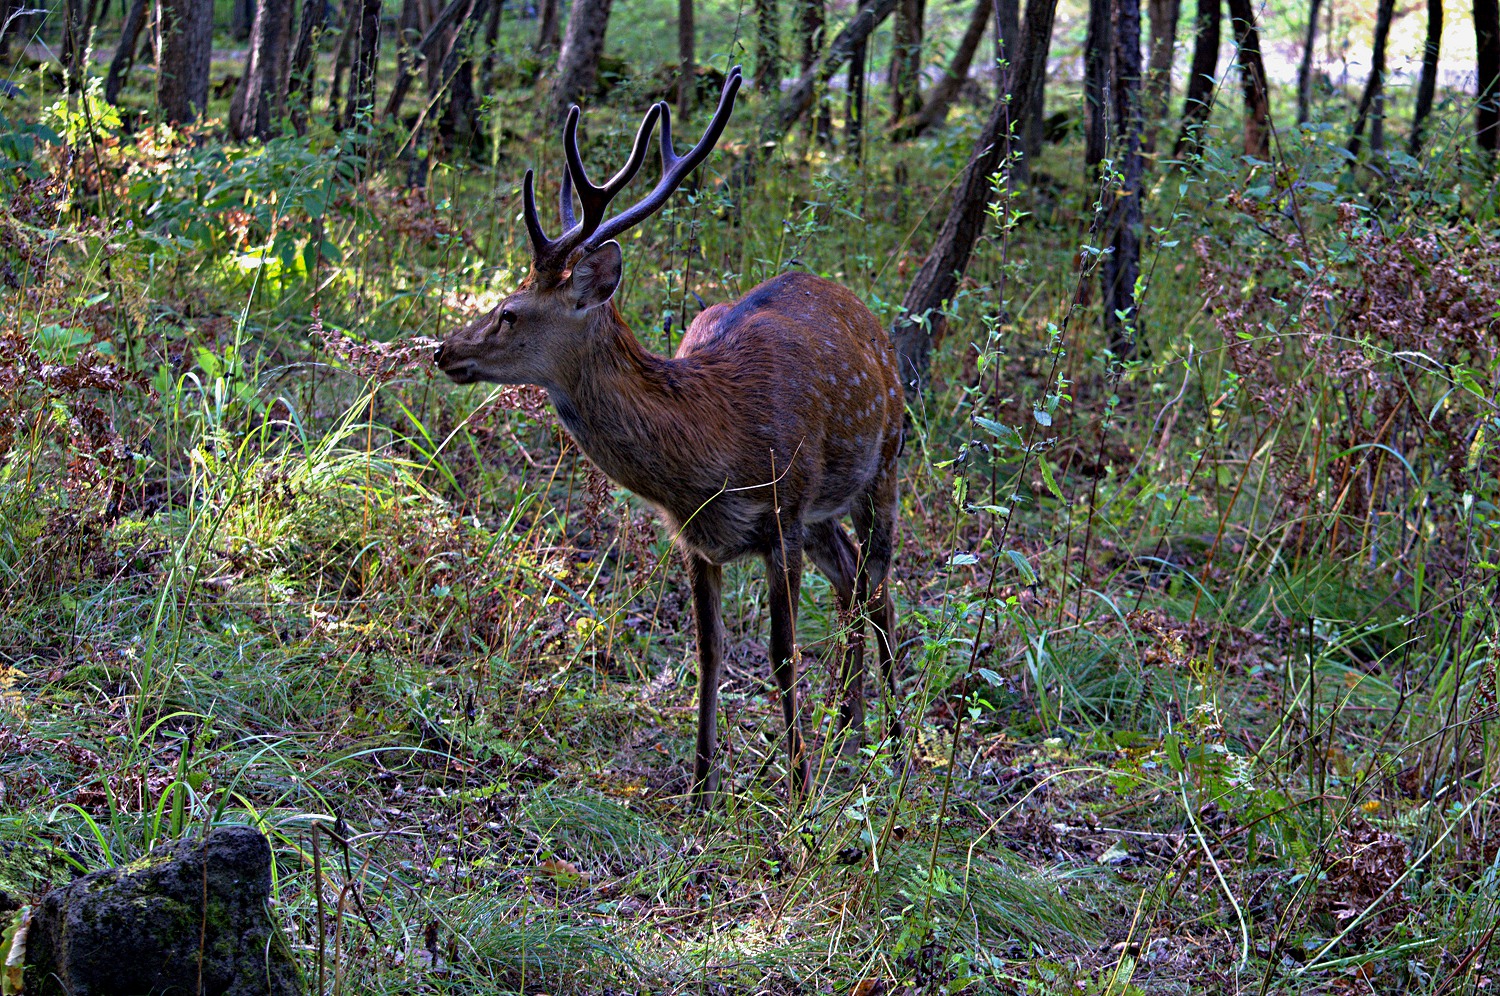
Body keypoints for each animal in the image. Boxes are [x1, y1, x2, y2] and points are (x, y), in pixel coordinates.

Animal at [435, 66, 900, 804]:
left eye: (510, 312)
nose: (445, 350)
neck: (714, 451)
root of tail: (867, 314)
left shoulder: (783, 510)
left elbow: (782, 652)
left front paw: (797, 794)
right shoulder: (700, 538)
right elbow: (709, 653)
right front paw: (702, 791)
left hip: (885, 460)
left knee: (881, 586)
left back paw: (897, 745)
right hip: (825, 513)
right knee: (854, 579)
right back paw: (849, 730)